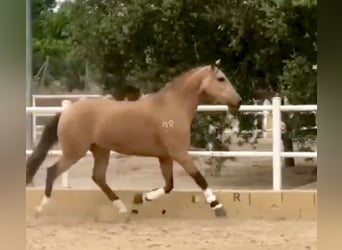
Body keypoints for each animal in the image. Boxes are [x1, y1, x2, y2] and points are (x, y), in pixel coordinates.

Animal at [26, 63, 240, 218]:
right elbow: (199, 178)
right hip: (74, 152)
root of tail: (66, 112)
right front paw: (218, 207)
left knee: (98, 178)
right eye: (221, 78)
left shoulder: (165, 157)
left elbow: (169, 185)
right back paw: (40, 208)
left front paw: (140, 198)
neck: (172, 106)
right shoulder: (180, 153)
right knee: (52, 171)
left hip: (100, 151)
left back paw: (122, 208)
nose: (237, 102)